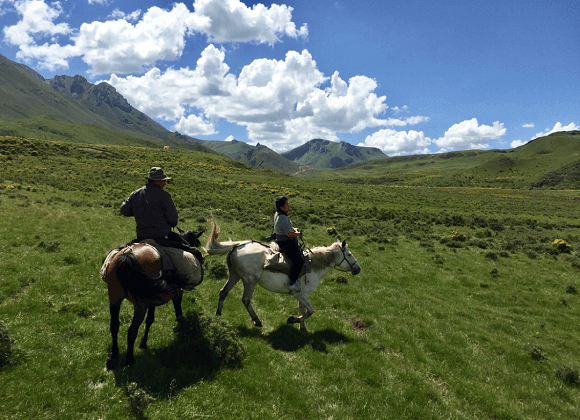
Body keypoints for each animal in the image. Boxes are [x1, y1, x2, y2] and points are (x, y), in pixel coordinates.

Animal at [102, 231, 204, 370]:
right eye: (196, 242)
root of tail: (128, 254)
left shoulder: (152, 300)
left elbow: (150, 319)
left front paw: (143, 342)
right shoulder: (177, 294)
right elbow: (178, 313)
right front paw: (182, 330)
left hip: (114, 298)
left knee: (114, 326)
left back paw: (113, 356)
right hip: (140, 305)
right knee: (132, 331)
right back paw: (128, 360)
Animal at [204, 223, 358, 332]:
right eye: (349, 254)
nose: (358, 268)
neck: (312, 265)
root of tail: (238, 246)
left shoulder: (302, 295)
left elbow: (303, 310)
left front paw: (303, 328)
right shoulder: (300, 293)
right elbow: (310, 311)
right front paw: (292, 320)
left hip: (234, 275)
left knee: (223, 292)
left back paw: (218, 316)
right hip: (249, 280)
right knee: (246, 300)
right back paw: (257, 320)